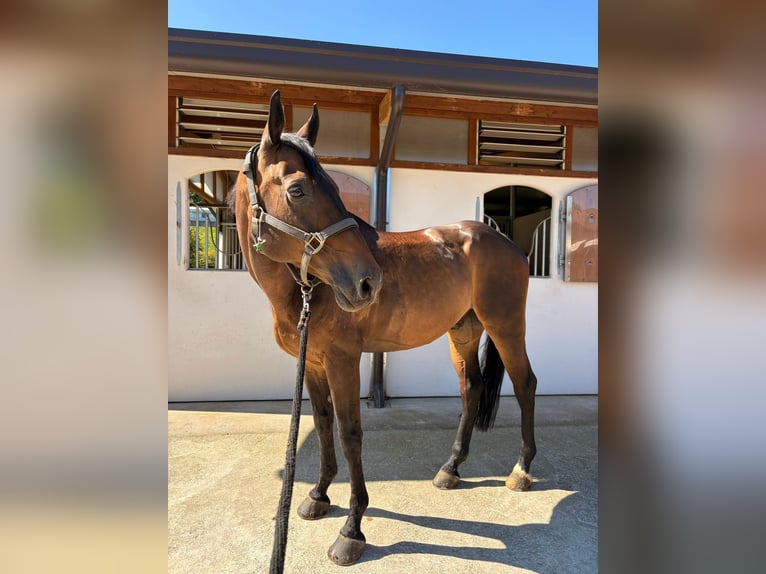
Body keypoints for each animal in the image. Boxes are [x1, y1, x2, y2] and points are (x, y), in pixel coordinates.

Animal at [231, 90, 537, 566]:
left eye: (336, 188)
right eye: (298, 189)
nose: (367, 283)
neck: (305, 292)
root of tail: (503, 240)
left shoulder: (343, 361)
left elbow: (350, 434)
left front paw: (351, 529)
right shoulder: (313, 364)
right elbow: (322, 426)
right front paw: (318, 496)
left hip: (506, 326)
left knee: (525, 384)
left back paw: (521, 470)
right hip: (462, 332)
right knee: (470, 389)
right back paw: (451, 469)